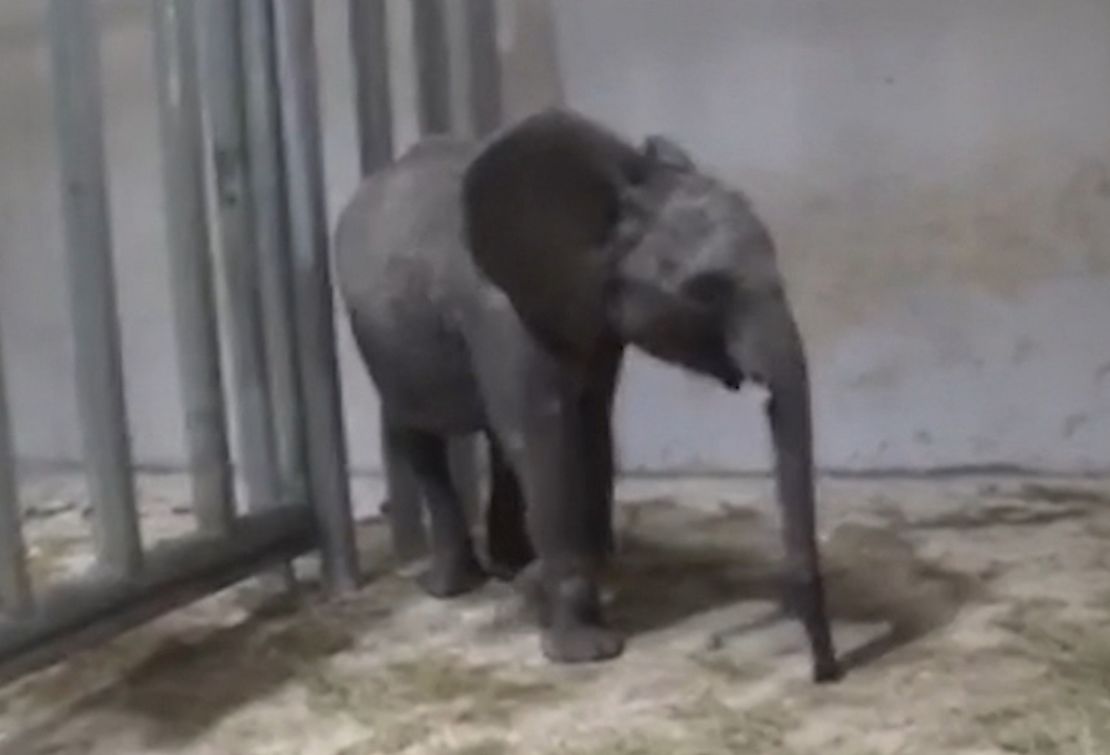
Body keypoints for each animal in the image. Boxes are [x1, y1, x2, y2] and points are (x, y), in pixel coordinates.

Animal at [328, 107, 839, 683]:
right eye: (706, 290)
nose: (824, 673)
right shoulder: (498, 309)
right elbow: (547, 432)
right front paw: (587, 653)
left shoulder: (593, 312)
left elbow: (590, 420)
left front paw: (580, 583)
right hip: (378, 338)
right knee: (417, 433)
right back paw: (453, 587)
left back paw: (512, 568)